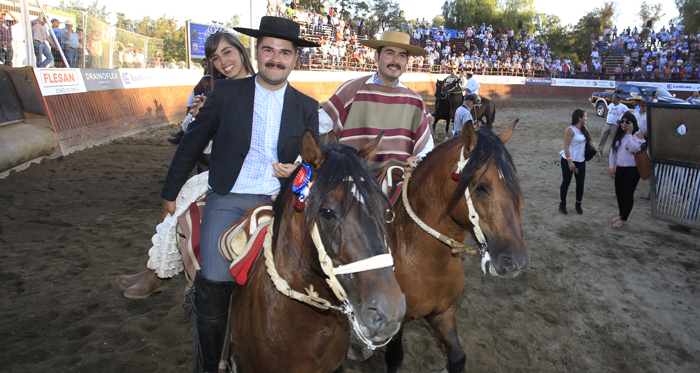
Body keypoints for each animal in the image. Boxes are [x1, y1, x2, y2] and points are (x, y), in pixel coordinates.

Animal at [382, 120, 532, 372]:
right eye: (481, 186)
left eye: (515, 184)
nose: (516, 261)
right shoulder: (393, 327)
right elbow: (394, 359)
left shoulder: (442, 311)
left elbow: (458, 358)